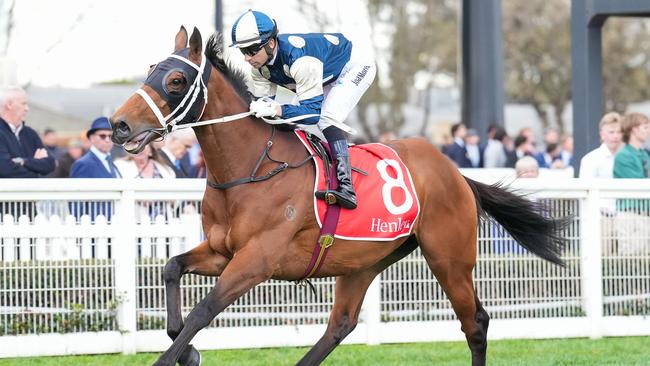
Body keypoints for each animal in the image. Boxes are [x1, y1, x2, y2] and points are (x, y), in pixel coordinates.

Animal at [109, 26, 564, 366]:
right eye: (150, 70)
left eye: (176, 80)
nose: (118, 125)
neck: (250, 168)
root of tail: (455, 173)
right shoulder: (222, 251)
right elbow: (171, 269)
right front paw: (188, 351)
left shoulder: (256, 261)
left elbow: (203, 310)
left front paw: (172, 358)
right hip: (364, 259)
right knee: (340, 324)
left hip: (448, 256)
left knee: (476, 323)